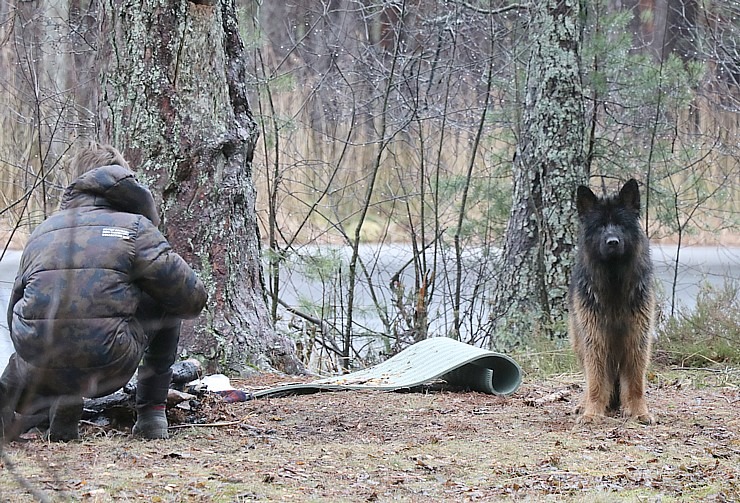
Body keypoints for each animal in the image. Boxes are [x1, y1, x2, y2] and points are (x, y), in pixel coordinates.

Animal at [568, 179, 656, 424]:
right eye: (599, 226)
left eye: (620, 225)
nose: (612, 242)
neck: (614, 281)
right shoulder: (594, 339)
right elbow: (596, 381)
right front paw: (592, 412)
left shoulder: (637, 338)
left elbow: (635, 382)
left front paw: (638, 411)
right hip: (579, 342)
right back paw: (584, 404)